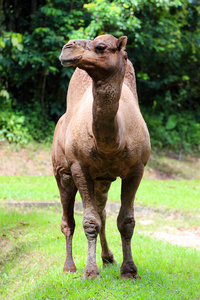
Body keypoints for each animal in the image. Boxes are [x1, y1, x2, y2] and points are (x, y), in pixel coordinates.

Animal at [52, 34, 151, 280]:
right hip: (62, 172)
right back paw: (69, 267)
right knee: (68, 220)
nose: (67, 47)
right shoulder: (79, 167)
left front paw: (129, 270)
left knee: (102, 211)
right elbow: (89, 221)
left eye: (101, 46)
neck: (114, 140)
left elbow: (126, 221)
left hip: (103, 179)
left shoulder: (137, 168)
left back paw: (107, 258)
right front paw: (90, 271)